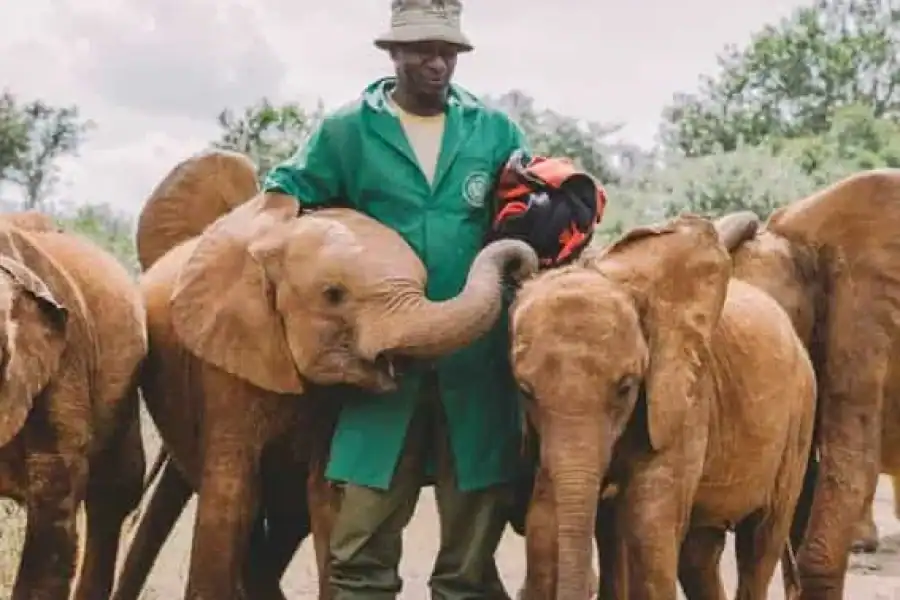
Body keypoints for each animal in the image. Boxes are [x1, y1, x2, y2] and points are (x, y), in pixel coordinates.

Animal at [509, 214, 815, 600]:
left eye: (626, 387)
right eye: (525, 391)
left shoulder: (684, 397)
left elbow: (648, 528)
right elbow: (544, 523)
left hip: (800, 415)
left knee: (760, 542)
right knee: (699, 554)